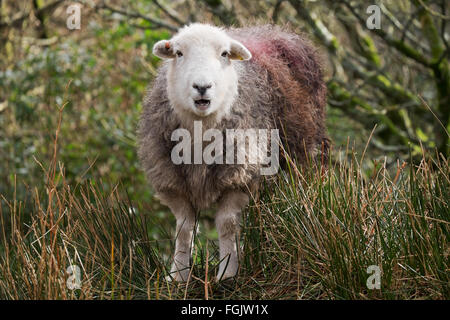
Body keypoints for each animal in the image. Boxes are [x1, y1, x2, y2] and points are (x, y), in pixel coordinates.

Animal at [136, 23, 326, 282]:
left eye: (224, 54)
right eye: (179, 53)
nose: (202, 87)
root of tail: (277, 31)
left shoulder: (238, 176)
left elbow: (226, 224)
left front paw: (227, 273)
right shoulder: (173, 181)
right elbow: (184, 229)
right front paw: (178, 275)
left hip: (302, 154)